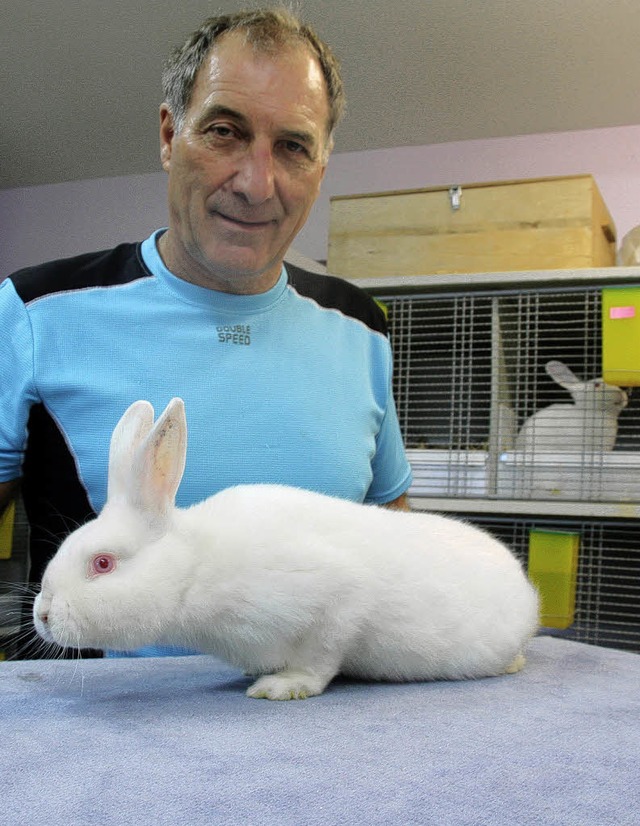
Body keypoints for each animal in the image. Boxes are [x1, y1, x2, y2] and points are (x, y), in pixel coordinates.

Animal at [32, 396, 536, 700]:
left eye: (102, 564)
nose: (43, 615)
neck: (196, 568)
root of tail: (526, 590)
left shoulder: (337, 601)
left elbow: (320, 659)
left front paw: (280, 687)